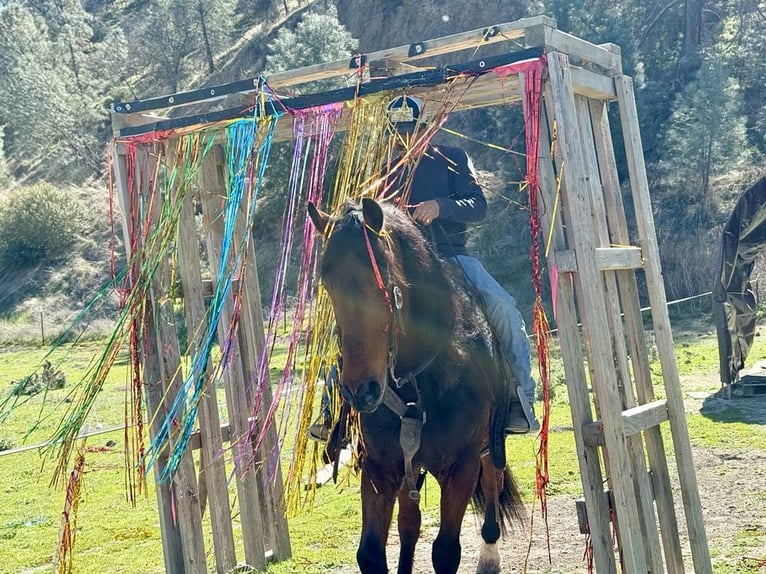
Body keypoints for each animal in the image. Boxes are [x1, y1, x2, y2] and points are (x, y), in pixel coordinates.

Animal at [308, 199, 524, 574]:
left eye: (378, 280)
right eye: (328, 283)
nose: (360, 390)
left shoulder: (461, 467)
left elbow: (446, 551)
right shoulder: (381, 469)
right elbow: (370, 552)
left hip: (490, 445)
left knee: (493, 482)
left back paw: (489, 555)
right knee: (410, 521)